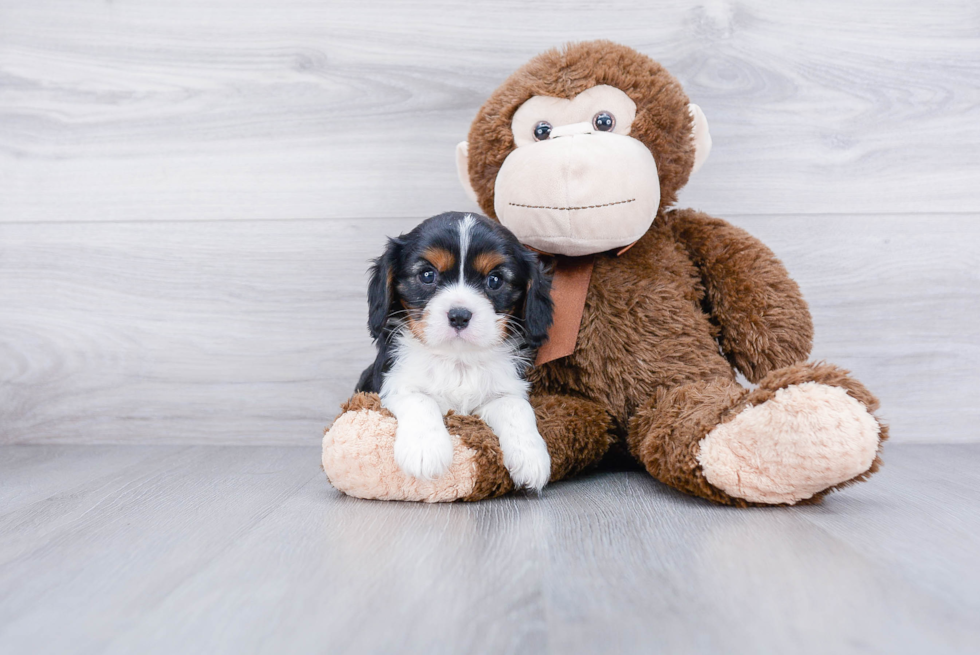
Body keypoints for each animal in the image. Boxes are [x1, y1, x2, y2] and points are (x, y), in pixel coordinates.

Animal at [356, 213, 556, 490]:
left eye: (495, 280)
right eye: (427, 275)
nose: (459, 315)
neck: (458, 359)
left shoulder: (502, 391)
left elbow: (516, 407)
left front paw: (531, 456)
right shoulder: (392, 384)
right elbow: (420, 400)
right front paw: (425, 450)